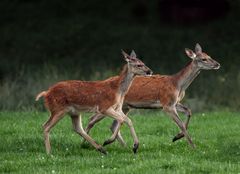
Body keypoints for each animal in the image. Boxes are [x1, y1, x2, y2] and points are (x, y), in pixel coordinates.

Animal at [85, 43, 220, 148]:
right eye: (203, 59)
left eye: (210, 56)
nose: (217, 64)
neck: (177, 83)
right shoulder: (167, 103)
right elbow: (181, 123)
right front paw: (192, 146)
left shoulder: (174, 102)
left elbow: (189, 111)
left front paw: (177, 137)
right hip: (111, 105)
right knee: (92, 119)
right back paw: (86, 144)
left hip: (125, 106)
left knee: (113, 124)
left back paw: (123, 146)